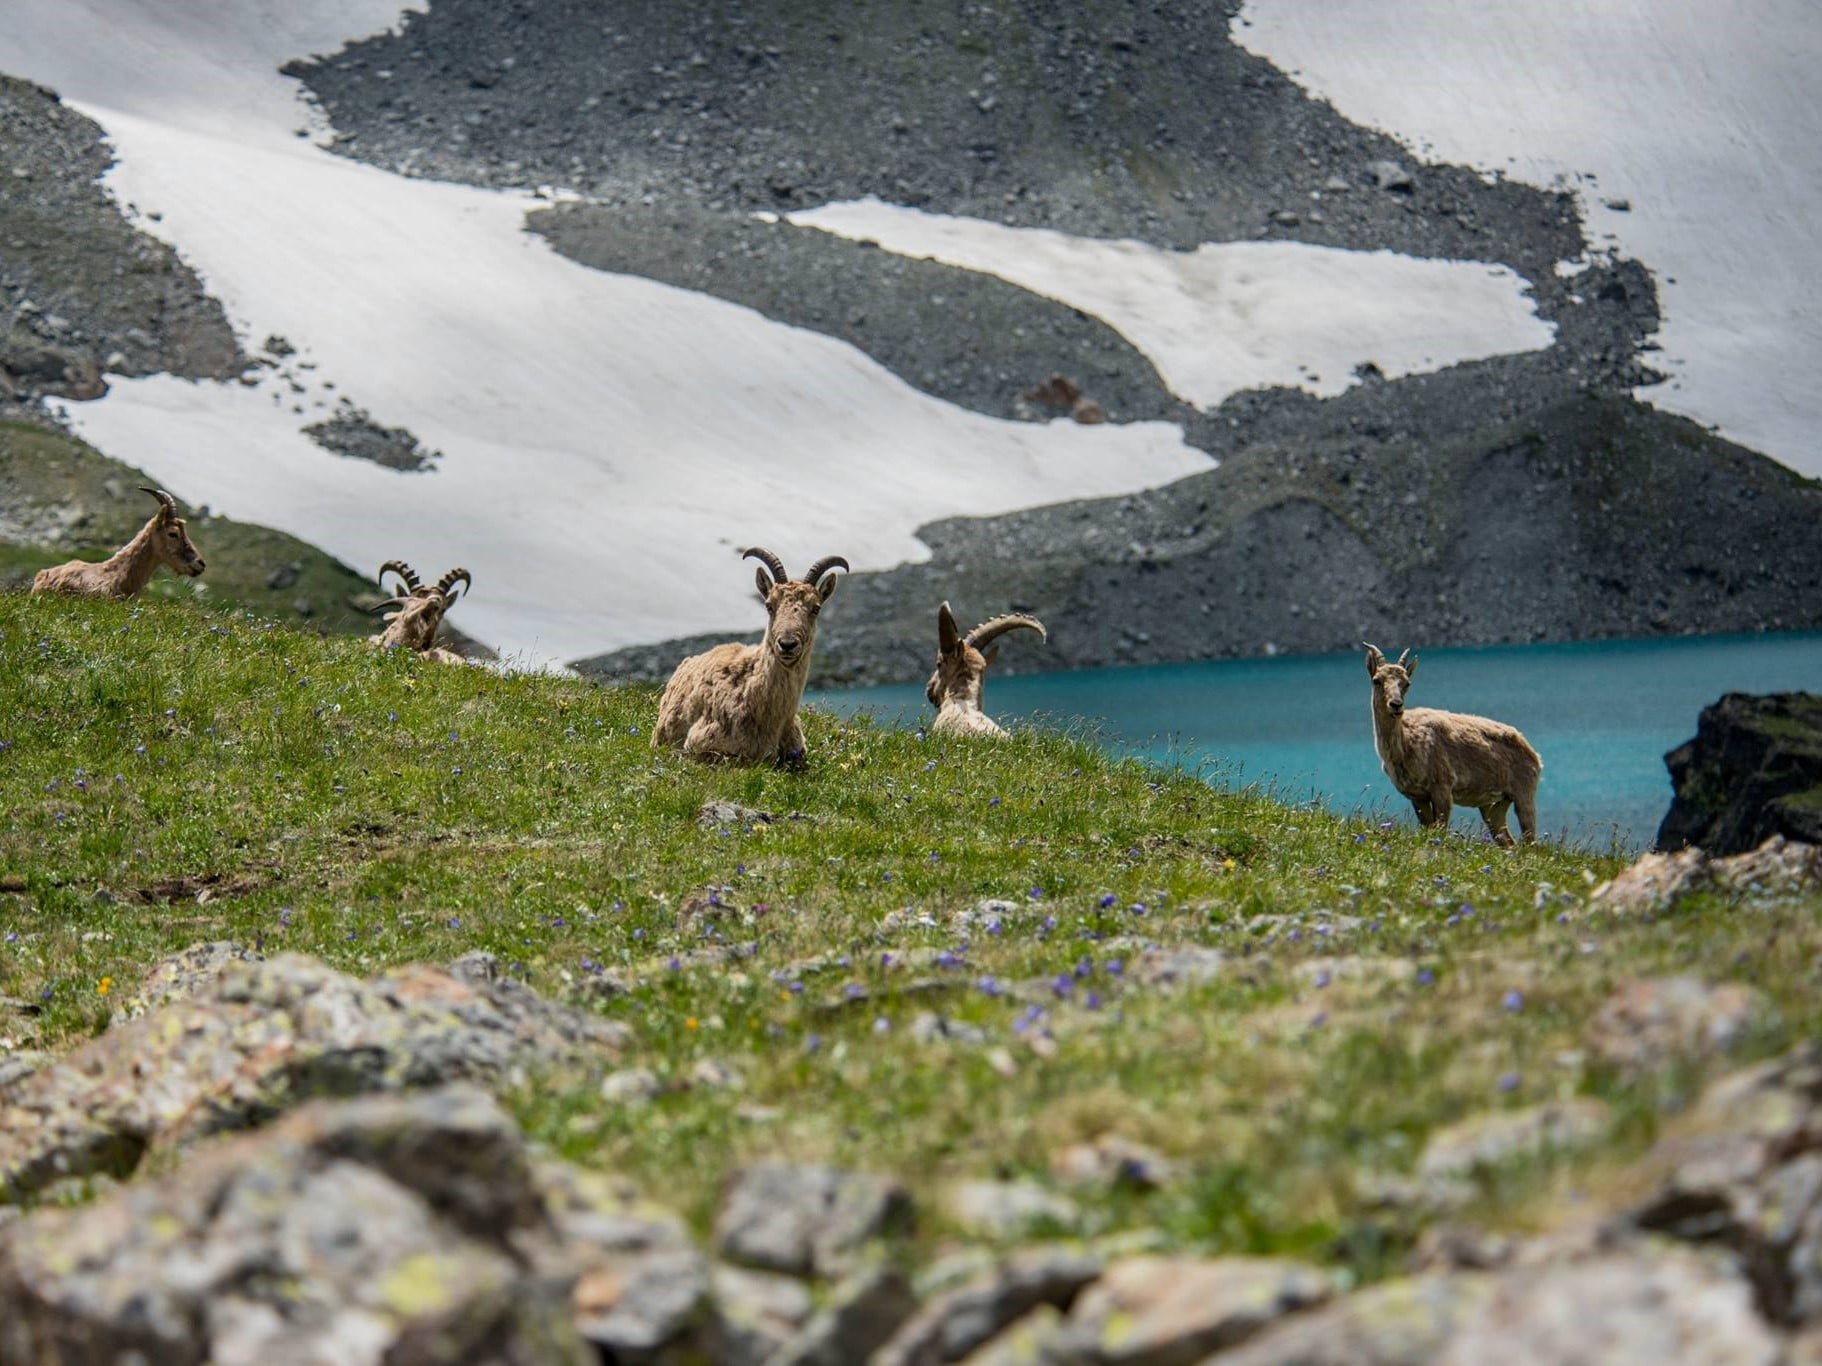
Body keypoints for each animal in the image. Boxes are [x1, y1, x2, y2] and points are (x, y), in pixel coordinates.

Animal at [1370, 641, 1537, 845]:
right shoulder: (1417, 796)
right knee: (1508, 841)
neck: (1407, 744)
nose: (1395, 704)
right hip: (1494, 804)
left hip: (1524, 794)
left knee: (1530, 841)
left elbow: (1440, 830)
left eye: (1407, 683)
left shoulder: (1442, 787)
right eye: (1376, 680)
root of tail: (1534, 755)